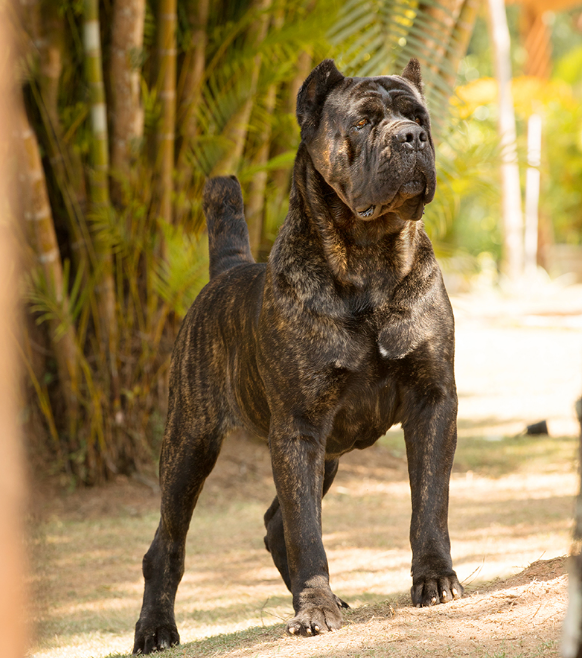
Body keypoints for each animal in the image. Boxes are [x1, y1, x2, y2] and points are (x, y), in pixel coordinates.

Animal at [133, 57, 466, 652]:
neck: (369, 259)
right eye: (362, 122)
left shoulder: (432, 401)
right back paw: (156, 629)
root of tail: (226, 270)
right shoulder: (299, 428)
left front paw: (434, 579)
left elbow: (429, 503)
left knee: (273, 525)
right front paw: (314, 609)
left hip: (323, 455)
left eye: (420, 117)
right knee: (166, 545)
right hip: (190, 446)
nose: (411, 138)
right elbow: (307, 532)